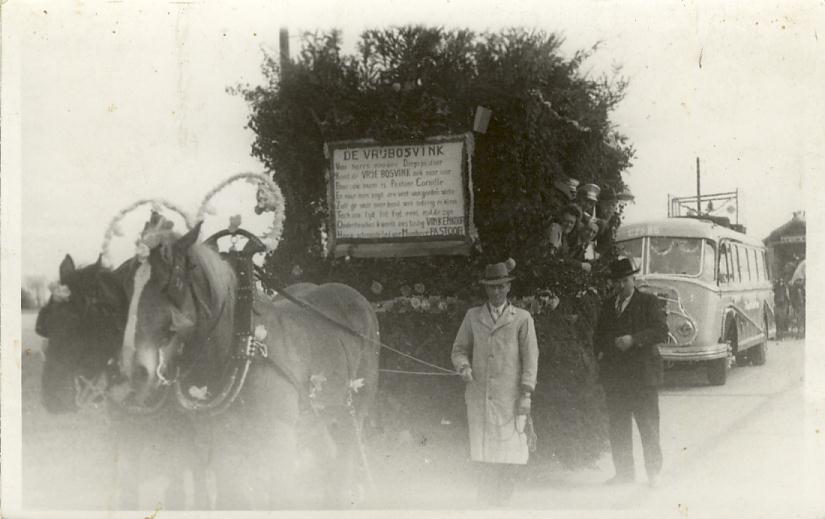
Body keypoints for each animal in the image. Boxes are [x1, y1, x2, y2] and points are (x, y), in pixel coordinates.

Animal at [117, 222, 382, 508]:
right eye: (128, 287)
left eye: (174, 283)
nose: (134, 368)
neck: (241, 345)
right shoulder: (222, 447)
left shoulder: (280, 442)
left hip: (352, 415)